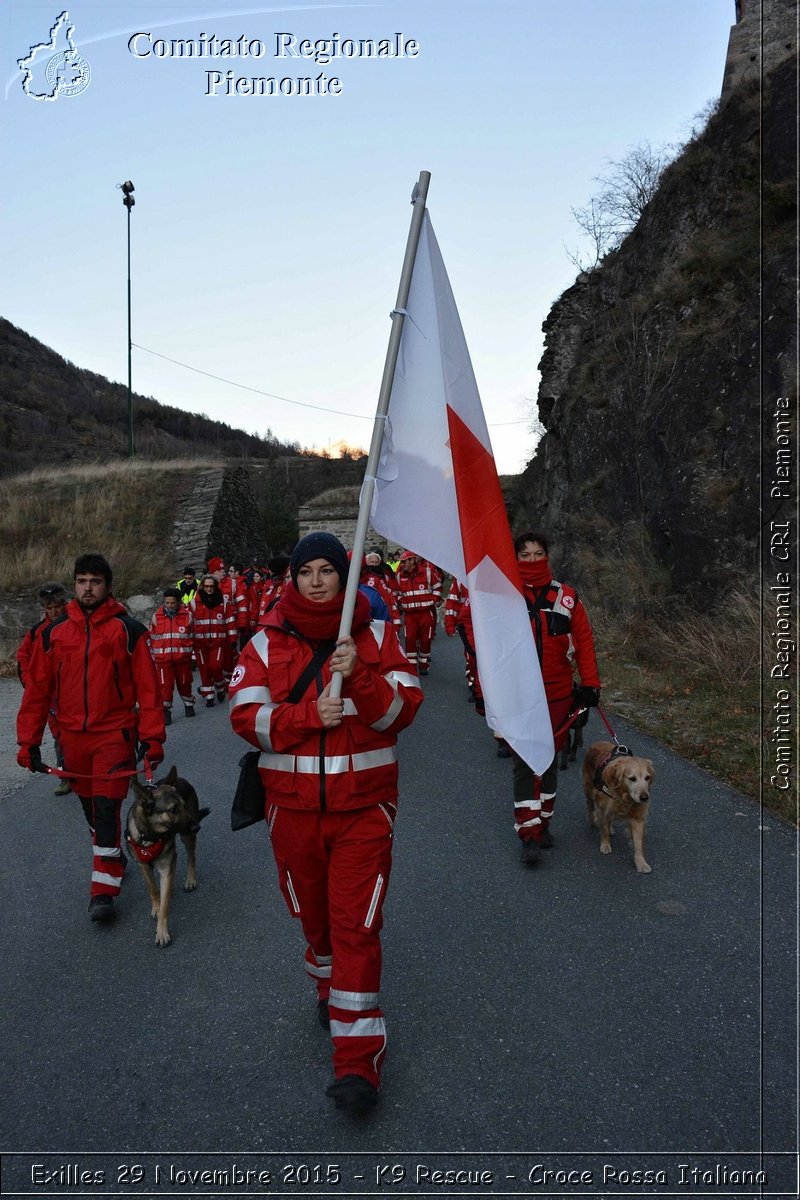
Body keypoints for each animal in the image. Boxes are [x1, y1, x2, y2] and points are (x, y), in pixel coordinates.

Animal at [126, 768, 211, 945]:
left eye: (183, 806)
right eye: (173, 810)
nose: (197, 826)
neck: (151, 838)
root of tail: (180, 778)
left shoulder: (166, 870)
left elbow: (166, 904)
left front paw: (162, 932)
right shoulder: (143, 866)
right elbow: (152, 889)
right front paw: (156, 907)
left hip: (187, 837)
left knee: (191, 856)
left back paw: (190, 880)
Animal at [582, 739, 657, 873]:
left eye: (647, 778)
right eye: (632, 778)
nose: (644, 797)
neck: (623, 795)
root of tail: (597, 743)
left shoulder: (637, 817)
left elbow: (638, 842)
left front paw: (641, 862)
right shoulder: (602, 808)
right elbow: (604, 829)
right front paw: (605, 844)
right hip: (588, 789)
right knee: (590, 805)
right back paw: (592, 820)